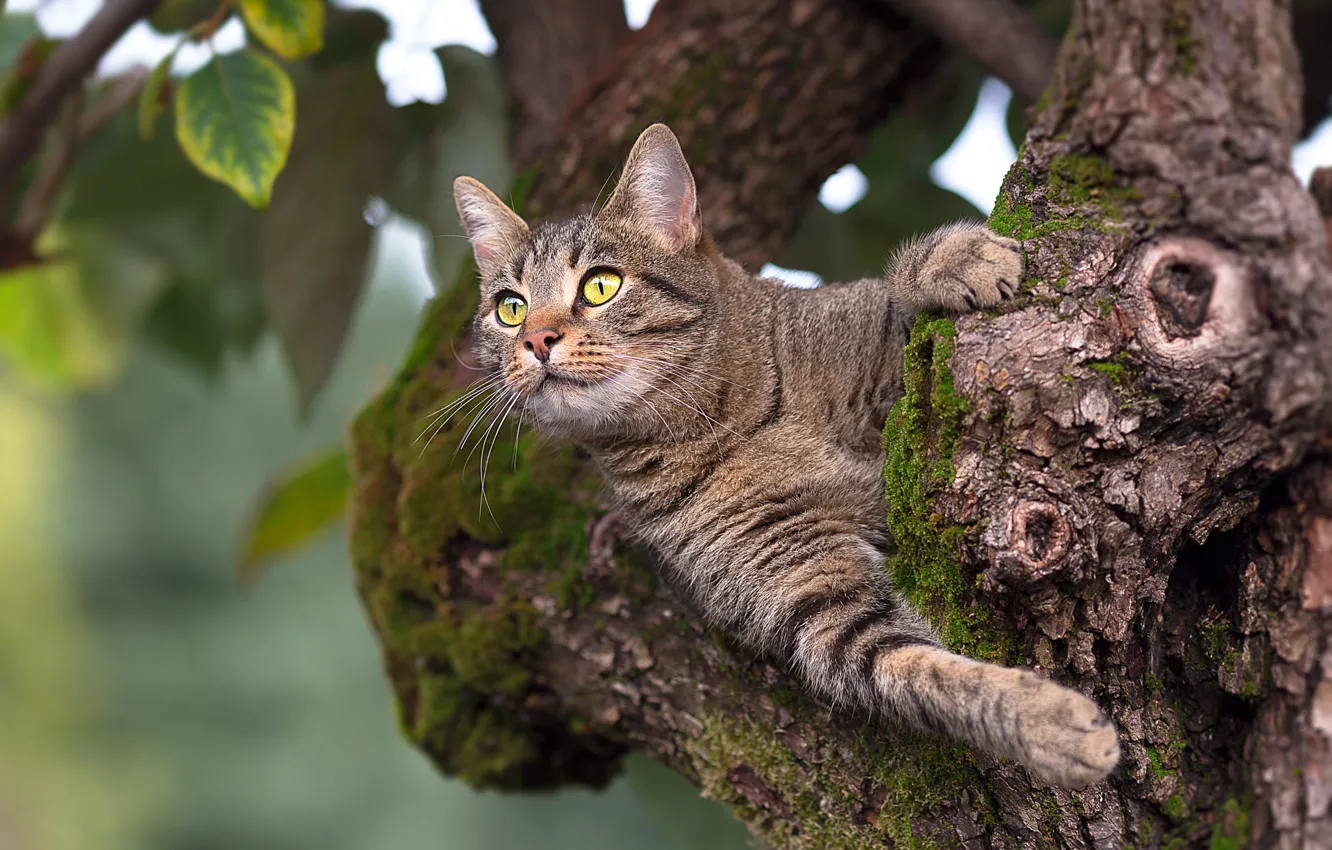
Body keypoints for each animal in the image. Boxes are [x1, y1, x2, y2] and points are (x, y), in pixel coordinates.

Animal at [452, 123, 1118, 788]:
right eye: (510, 307)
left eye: (600, 285)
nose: (537, 339)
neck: (716, 425)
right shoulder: (813, 596)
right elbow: (919, 670)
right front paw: (1049, 723)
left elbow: (895, 302)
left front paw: (950, 260)